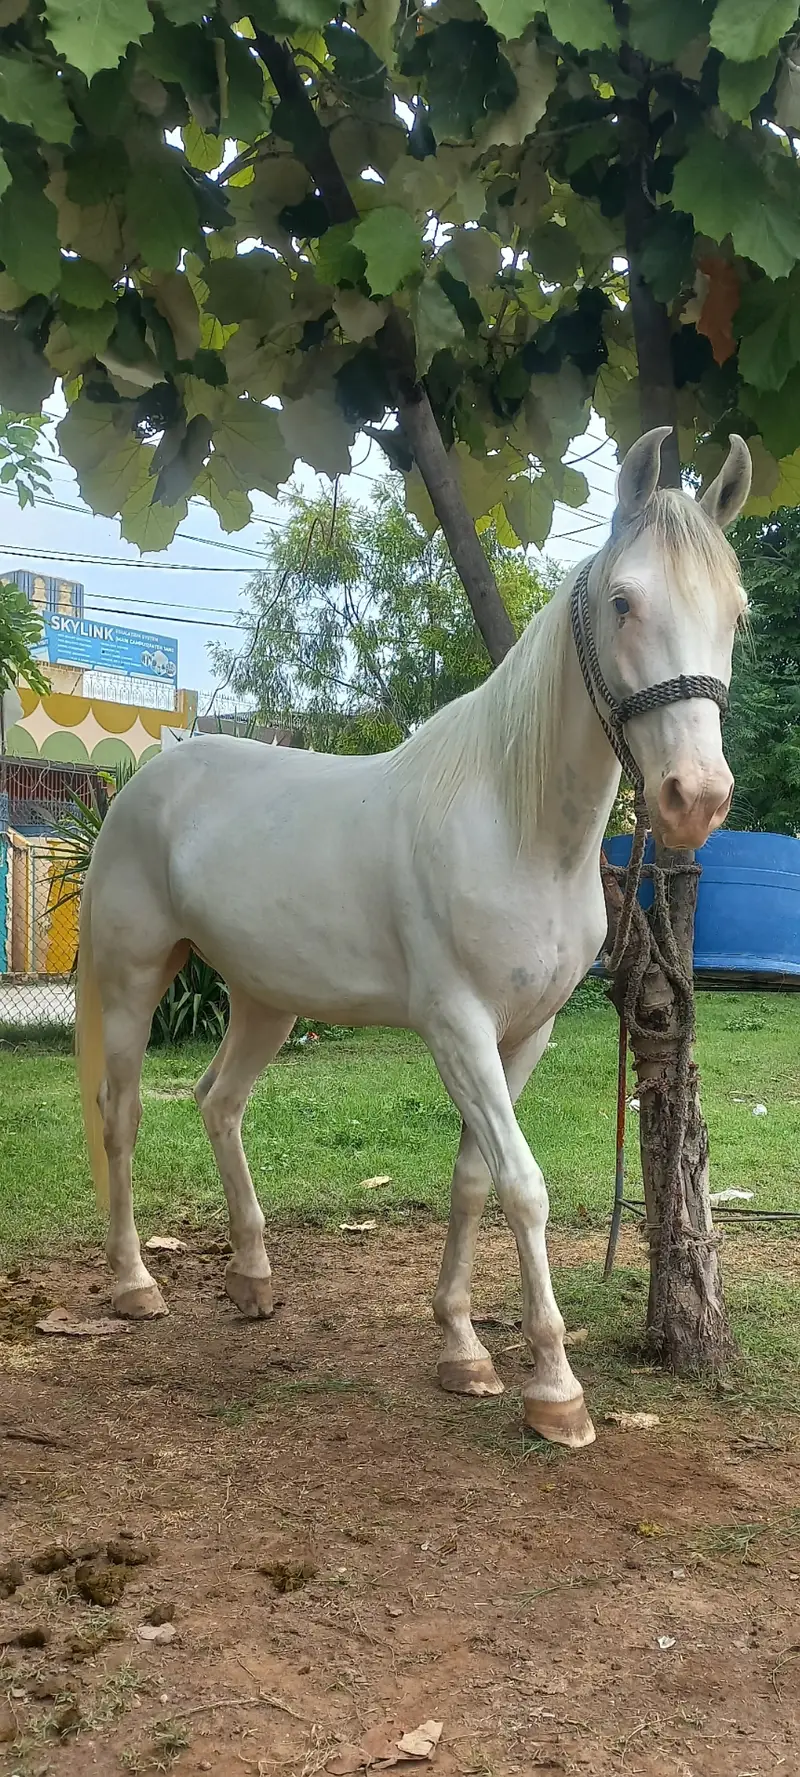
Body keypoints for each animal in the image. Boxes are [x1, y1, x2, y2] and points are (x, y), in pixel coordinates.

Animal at [76, 426, 752, 1449]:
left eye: (738, 614)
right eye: (625, 600)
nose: (694, 799)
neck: (515, 825)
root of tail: (151, 776)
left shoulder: (524, 1033)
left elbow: (474, 1177)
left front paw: (462, 1348)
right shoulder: (457, 1027)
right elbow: (522, 1184)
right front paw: (555, 1389)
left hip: (267, 1001)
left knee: (218, 1104)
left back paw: (253, 1279)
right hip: (131, 980)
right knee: (123, 1117)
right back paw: (133, 1284)